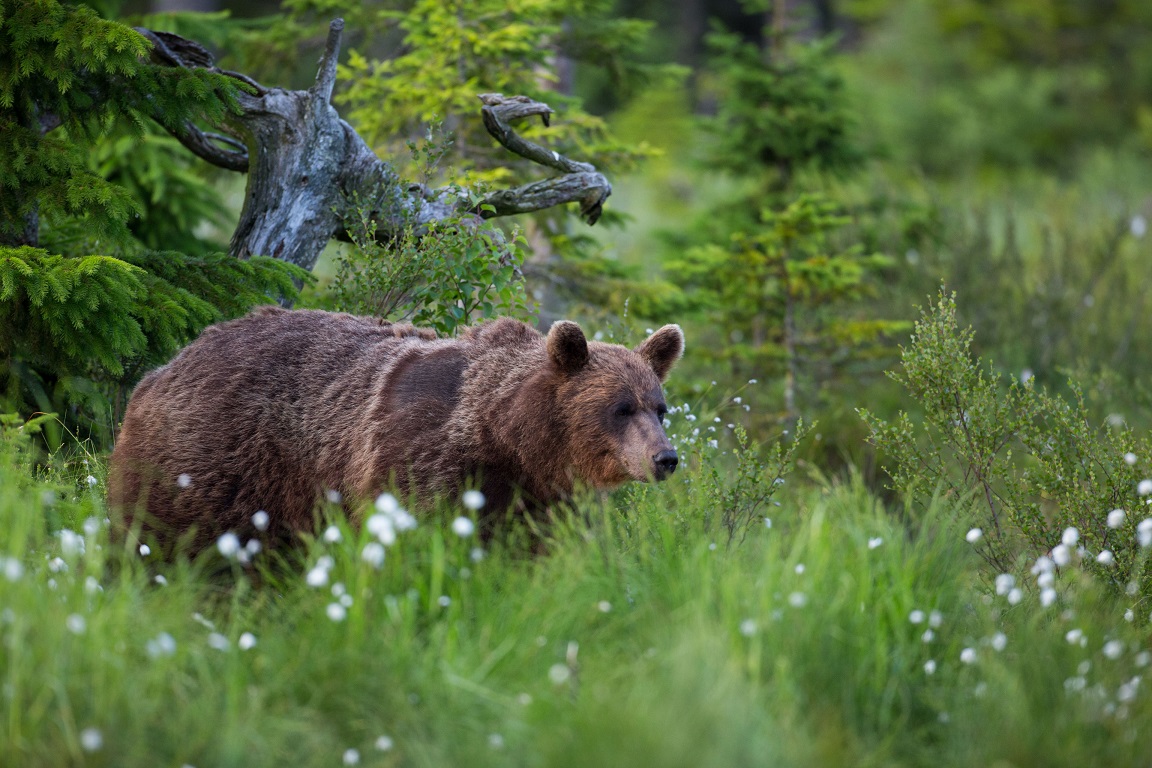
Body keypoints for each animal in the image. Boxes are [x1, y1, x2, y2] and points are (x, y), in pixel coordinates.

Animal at [105, 306, 681, 552]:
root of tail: (165, 365)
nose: (665, 458)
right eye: (621, 408)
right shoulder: (418, 455)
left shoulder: (541, 498)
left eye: (659, 406)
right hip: (211, 460)